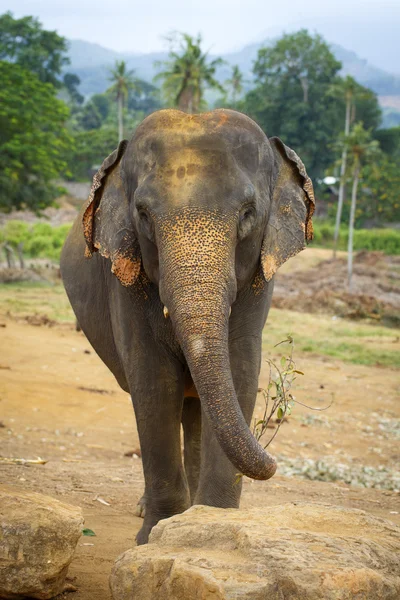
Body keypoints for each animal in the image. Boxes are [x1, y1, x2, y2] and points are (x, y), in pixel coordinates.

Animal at [61, 109, 314, 544]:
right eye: (143, 214)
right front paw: (154, 536)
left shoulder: (259, 281)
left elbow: (240, 371)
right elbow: (153, 381)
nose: (273, 463)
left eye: (248, 212)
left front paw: (211, 525)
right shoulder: (126, 277)